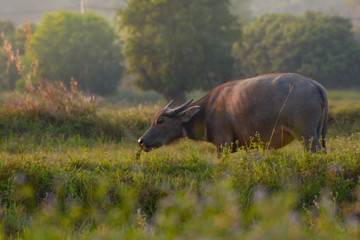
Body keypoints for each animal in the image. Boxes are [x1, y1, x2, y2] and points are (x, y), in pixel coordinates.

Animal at [136, 72, 328, 157]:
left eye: (160, 121)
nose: (141, 141)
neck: (208, 110)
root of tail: (314, 84)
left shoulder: (223, 145)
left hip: (307, 135)